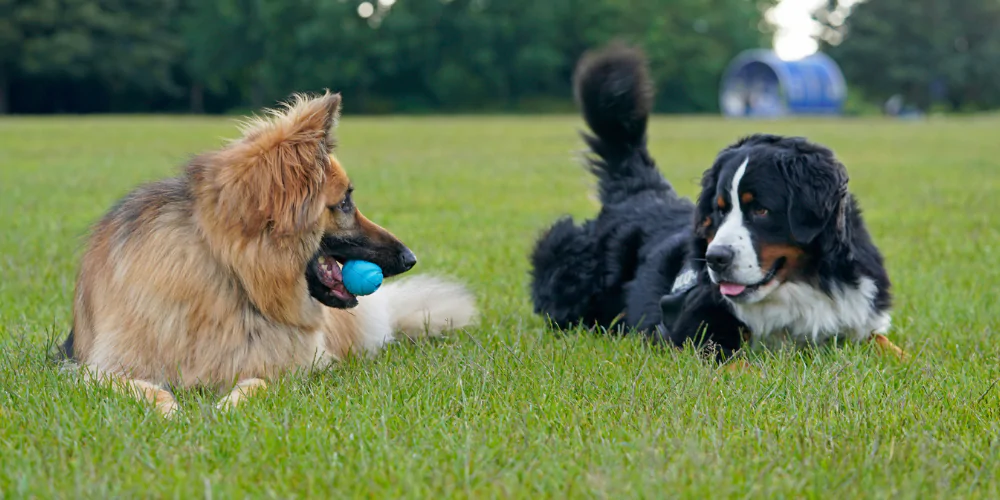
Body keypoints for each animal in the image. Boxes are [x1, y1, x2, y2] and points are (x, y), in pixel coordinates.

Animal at [63, 92, 480, 416]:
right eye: (345, 202)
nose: (411, 258)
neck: (231, 274)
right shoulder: (95, 368)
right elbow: (137, 386)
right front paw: (170, 410)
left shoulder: (296, 365)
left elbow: (258, 382)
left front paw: (228, 405)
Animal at [532, 45, 908, 360]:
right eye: (720, 209)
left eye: (761, 210)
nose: (715, 258)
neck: (805, 284)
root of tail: (639, 191)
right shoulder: (689, 329)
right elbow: (740, 363)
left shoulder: (855, 318)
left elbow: (890, 346)